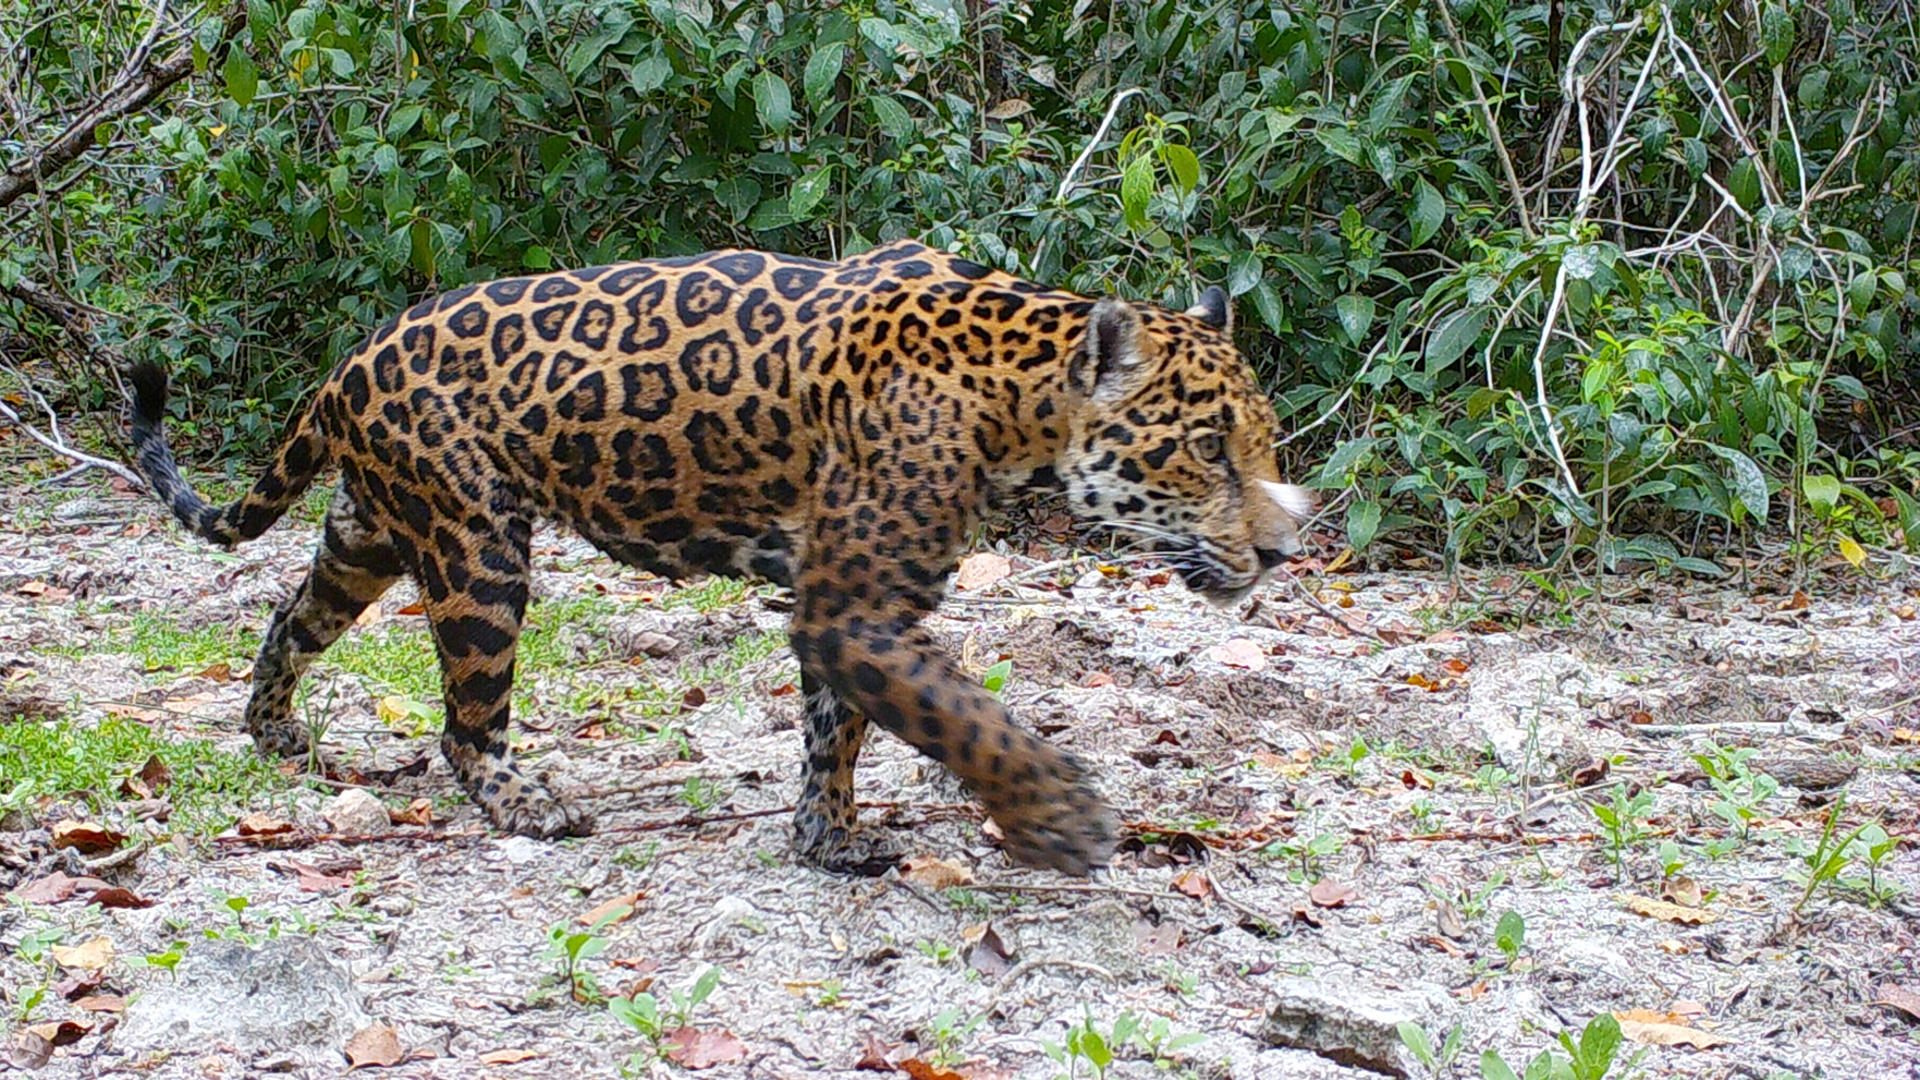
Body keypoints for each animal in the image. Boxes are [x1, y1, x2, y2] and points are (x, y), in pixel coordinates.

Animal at [127, 239, 1315, 876]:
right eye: (1208, 450)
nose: (1279, 548)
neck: (1019, 396)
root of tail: (349, 362)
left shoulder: (849, 601)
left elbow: (841, 727)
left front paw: (827, 837)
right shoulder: (852, 607)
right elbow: (965, 716)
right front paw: (1058, 820)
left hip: (371, 531)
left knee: (289, 616)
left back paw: (272, 729)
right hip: (476, 545)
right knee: (465, 724)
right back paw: (527, 803)